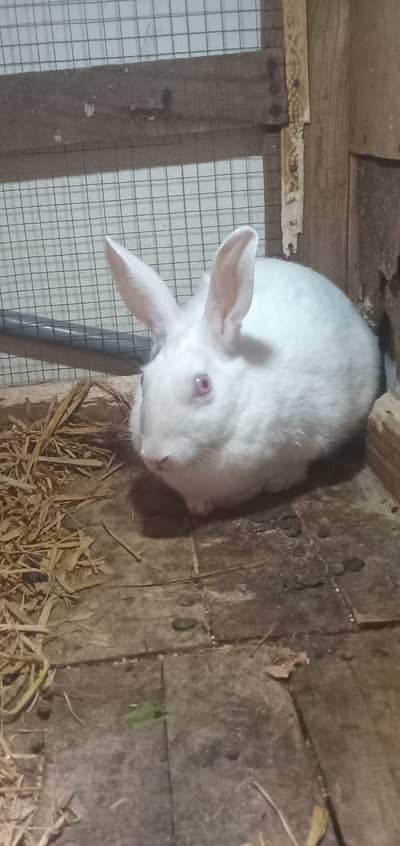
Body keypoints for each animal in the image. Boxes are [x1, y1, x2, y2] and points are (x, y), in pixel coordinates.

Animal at [104, 226, 380, 516]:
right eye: (144, 380)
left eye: (203, 384)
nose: (156, 456)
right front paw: (199, 507)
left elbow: (295, 465)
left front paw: (279, 483)